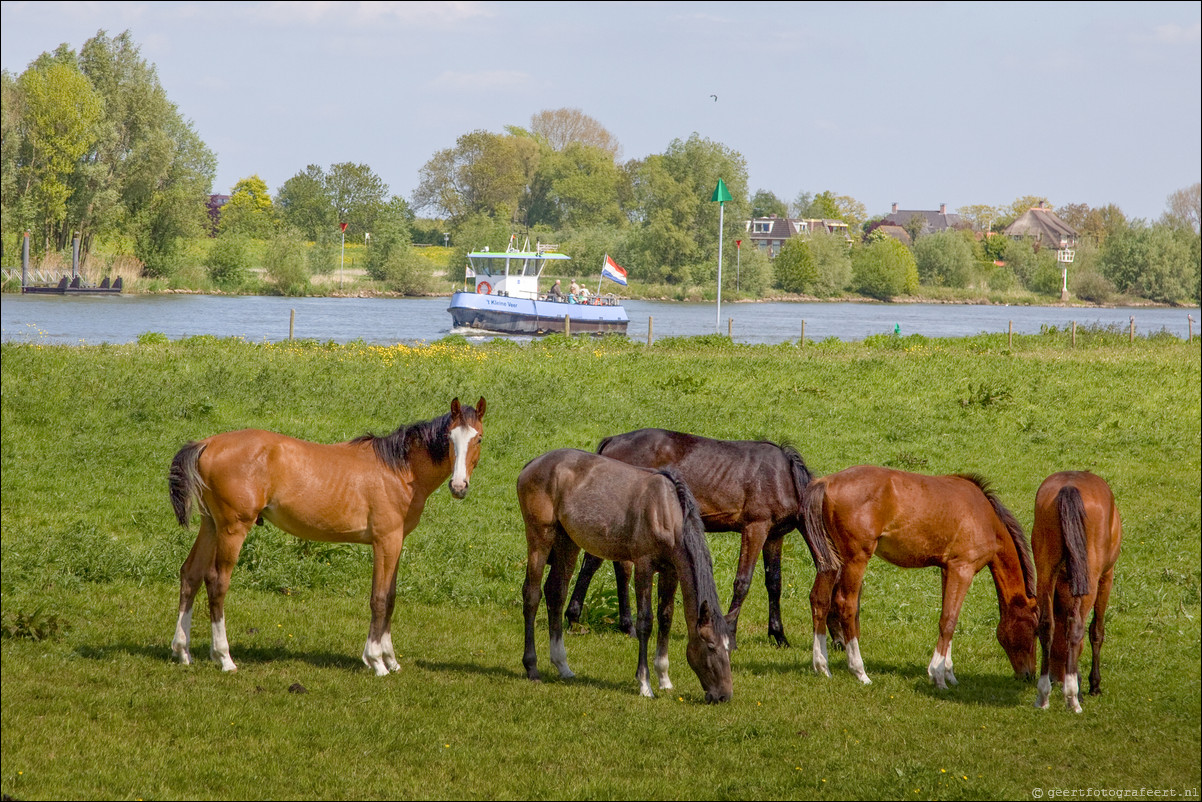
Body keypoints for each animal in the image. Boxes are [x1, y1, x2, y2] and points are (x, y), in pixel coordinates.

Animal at [167, 399, 485, 673]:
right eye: (449, 438)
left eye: (478, 438)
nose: (459, 486)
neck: (398, 470)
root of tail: (207, 444)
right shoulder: (386, 542)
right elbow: (380, 598)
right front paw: (376, 661)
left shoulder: (396, 542)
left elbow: (391, 597)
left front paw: (391, 660)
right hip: (233, 528)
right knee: (217, 582)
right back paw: (224, 657)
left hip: (211, 525)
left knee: (191, 575)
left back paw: (183, 651)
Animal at [521, 449, 735, 707]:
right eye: (711, 646)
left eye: (729, 648)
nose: (724, 695)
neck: (665, 511)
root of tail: (533, 464)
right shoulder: (644, 566)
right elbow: (645, 622)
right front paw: (645, 684)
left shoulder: (670, 571)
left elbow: (666, 618)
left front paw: (664, 678)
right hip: (539, 539)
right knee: (532, 595)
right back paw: (531, 668)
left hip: (567, 543)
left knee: (556, 594)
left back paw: (562, 665)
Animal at [562, 430, 836, 649]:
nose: (839, 643)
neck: (783, 477)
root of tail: (612, 441)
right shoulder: (755, 528)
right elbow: (743, 582)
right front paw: (730, 635)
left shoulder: (774, 536)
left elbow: (774, 583)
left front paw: (779, 636)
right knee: (606, 564)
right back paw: (590, 620)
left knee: (604, 564)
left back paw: (602, 621)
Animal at [802, 466, 1038, 687]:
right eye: (1035, 630)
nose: (1029, 675)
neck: (984, 517)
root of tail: (826, 482)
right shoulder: (962, 570)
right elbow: (948, 621)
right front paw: (938, 675)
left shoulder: (948, 570)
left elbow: (948, 618)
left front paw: (949, 673)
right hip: (856, 559)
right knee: (846, 605)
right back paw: (860, 671)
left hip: (831, 562)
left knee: (819, 600)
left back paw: (822, 666)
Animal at [1028, 471, 1120, 716]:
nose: (1057, 676)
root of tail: (1069, 487)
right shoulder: (1106, 577)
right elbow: (1096, 631)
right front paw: (1092, 684)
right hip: (1092, 576)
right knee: (1078, 627)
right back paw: (1071, 698)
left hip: (1045, 571)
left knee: (1046, 626)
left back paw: (1043, 695)